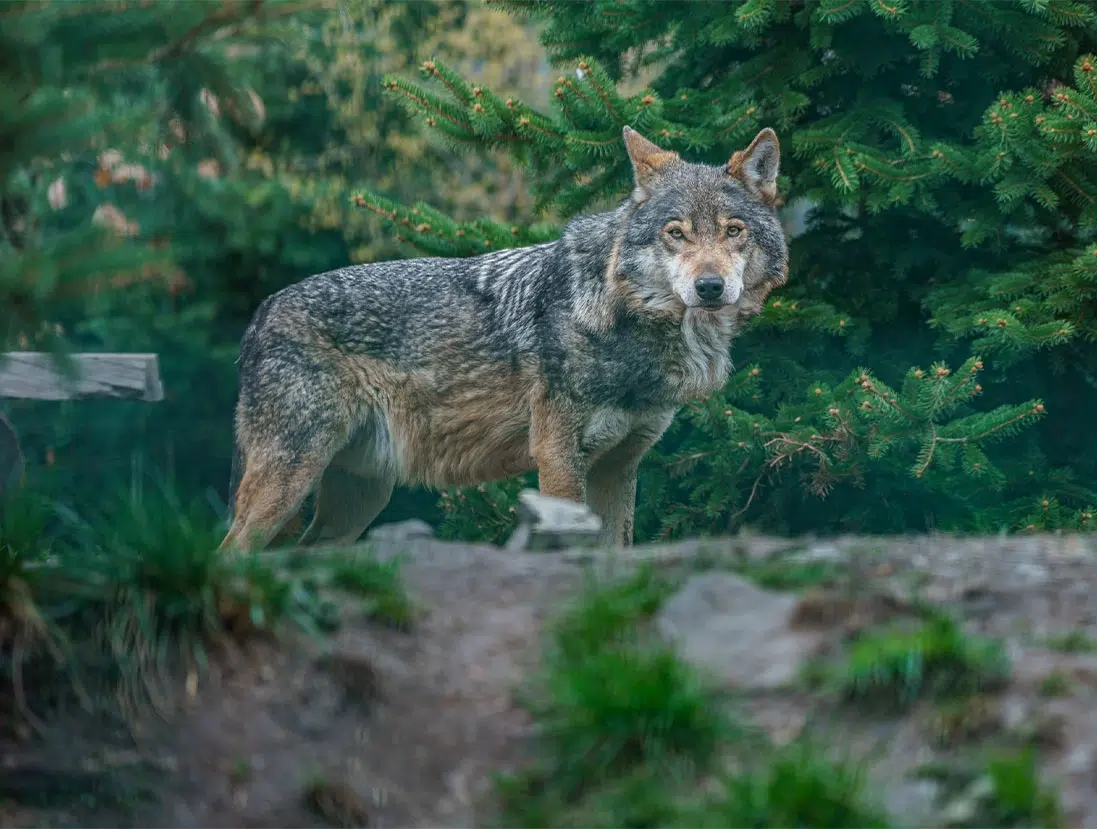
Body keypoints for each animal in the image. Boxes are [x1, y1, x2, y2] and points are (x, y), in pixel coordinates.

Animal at [220, 126, 789, 552]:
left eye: (733, 231)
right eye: (676, 233)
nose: (710, 287)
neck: (621, 317)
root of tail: (261, 313)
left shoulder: (620, 466)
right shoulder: (558, 456)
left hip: (359, 496)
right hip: (288, 481)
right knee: (232, 551)